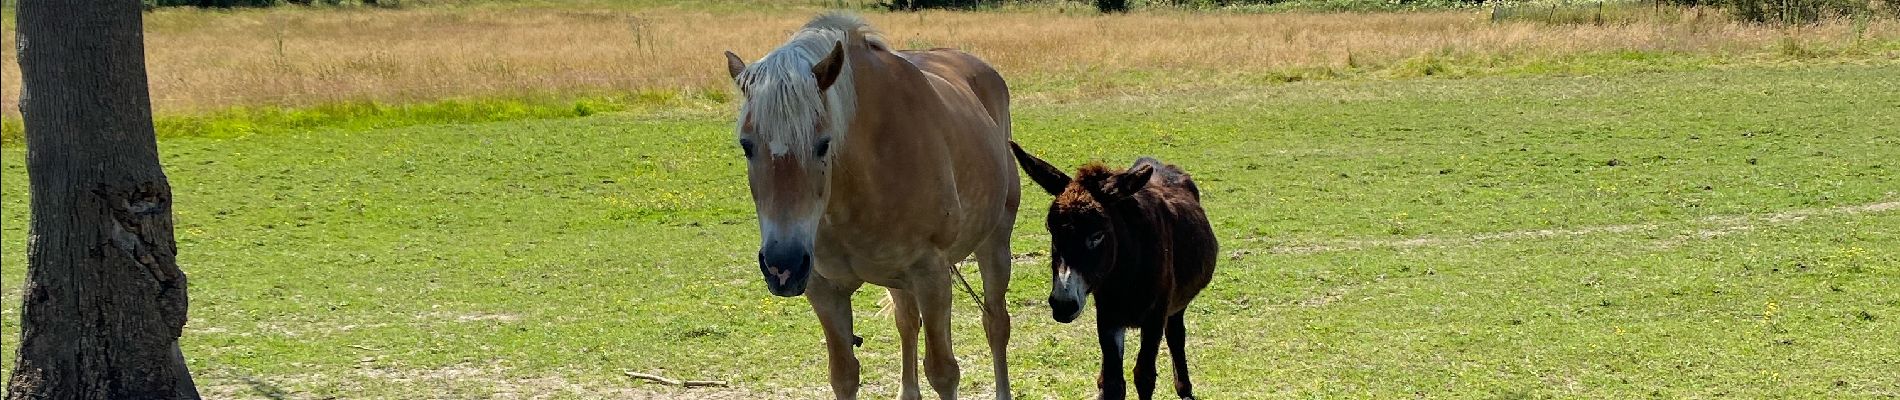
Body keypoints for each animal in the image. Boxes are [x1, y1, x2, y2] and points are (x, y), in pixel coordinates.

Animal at [718, 12, 1018, 400]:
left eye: (823, 143)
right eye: (746, 144)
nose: (782, 266)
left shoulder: (931, 275)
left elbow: (943, 373)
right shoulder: (823, 288)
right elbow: (844, 374)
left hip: (994, 245)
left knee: (995, 323)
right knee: (907, 323)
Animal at [1010, 141, 1216, 400]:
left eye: (1098, 235)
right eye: (1051, 230)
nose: (1062, 305)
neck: (1124, 274)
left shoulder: (1155, 316)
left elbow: (1144, 376)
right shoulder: (1108, 315)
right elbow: (1112, 382)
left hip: (1176, 305)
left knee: (1176, 336)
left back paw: (1184, 389)